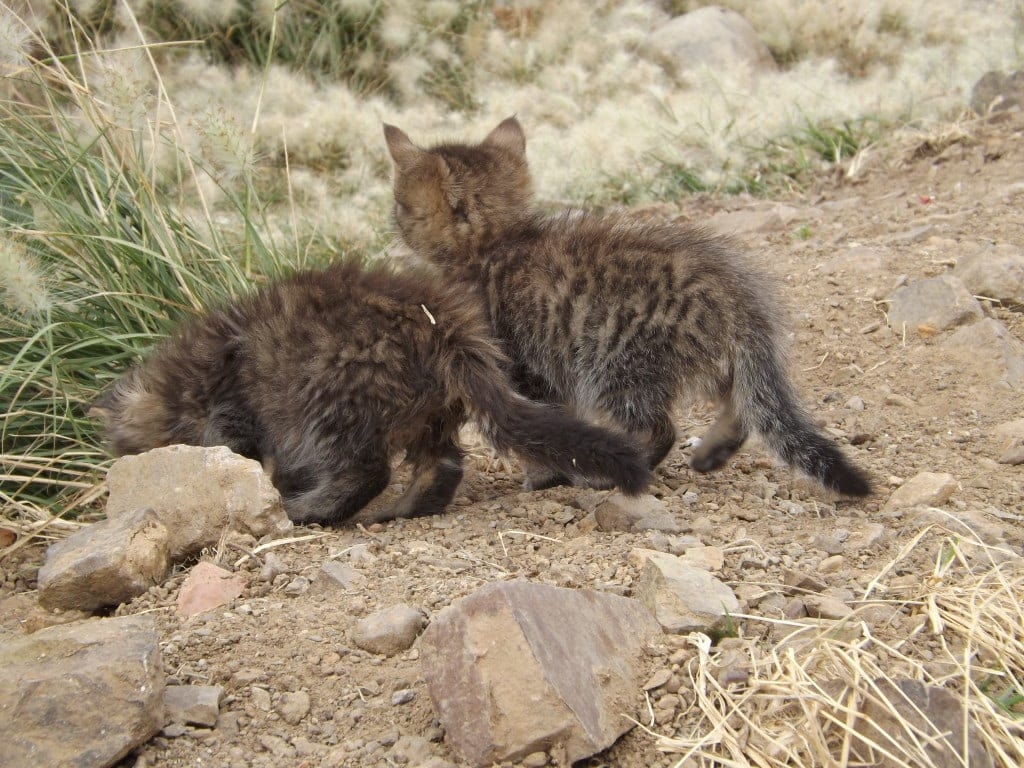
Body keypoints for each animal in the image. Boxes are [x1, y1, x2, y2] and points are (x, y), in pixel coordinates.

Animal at [94, 262, 647, 528]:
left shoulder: (235, 412)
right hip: (429, 412)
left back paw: (307, 511)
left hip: (331, 396)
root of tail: (444, 324)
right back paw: (404, 510)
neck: (185, 382)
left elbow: (241, 451)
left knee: (365, 472)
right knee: (443, 466)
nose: (116, 468)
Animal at [385, 116, 872, 495]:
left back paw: (620, 470)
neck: (498, 243)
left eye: (400, 206)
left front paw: (546, 476)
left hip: (621, 364)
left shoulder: (525, 366)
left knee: (664, 428)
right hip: (710, 362)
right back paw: (711, 452)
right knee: (745, 405)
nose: (393, 226)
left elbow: (540, 426)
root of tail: (736, 295)